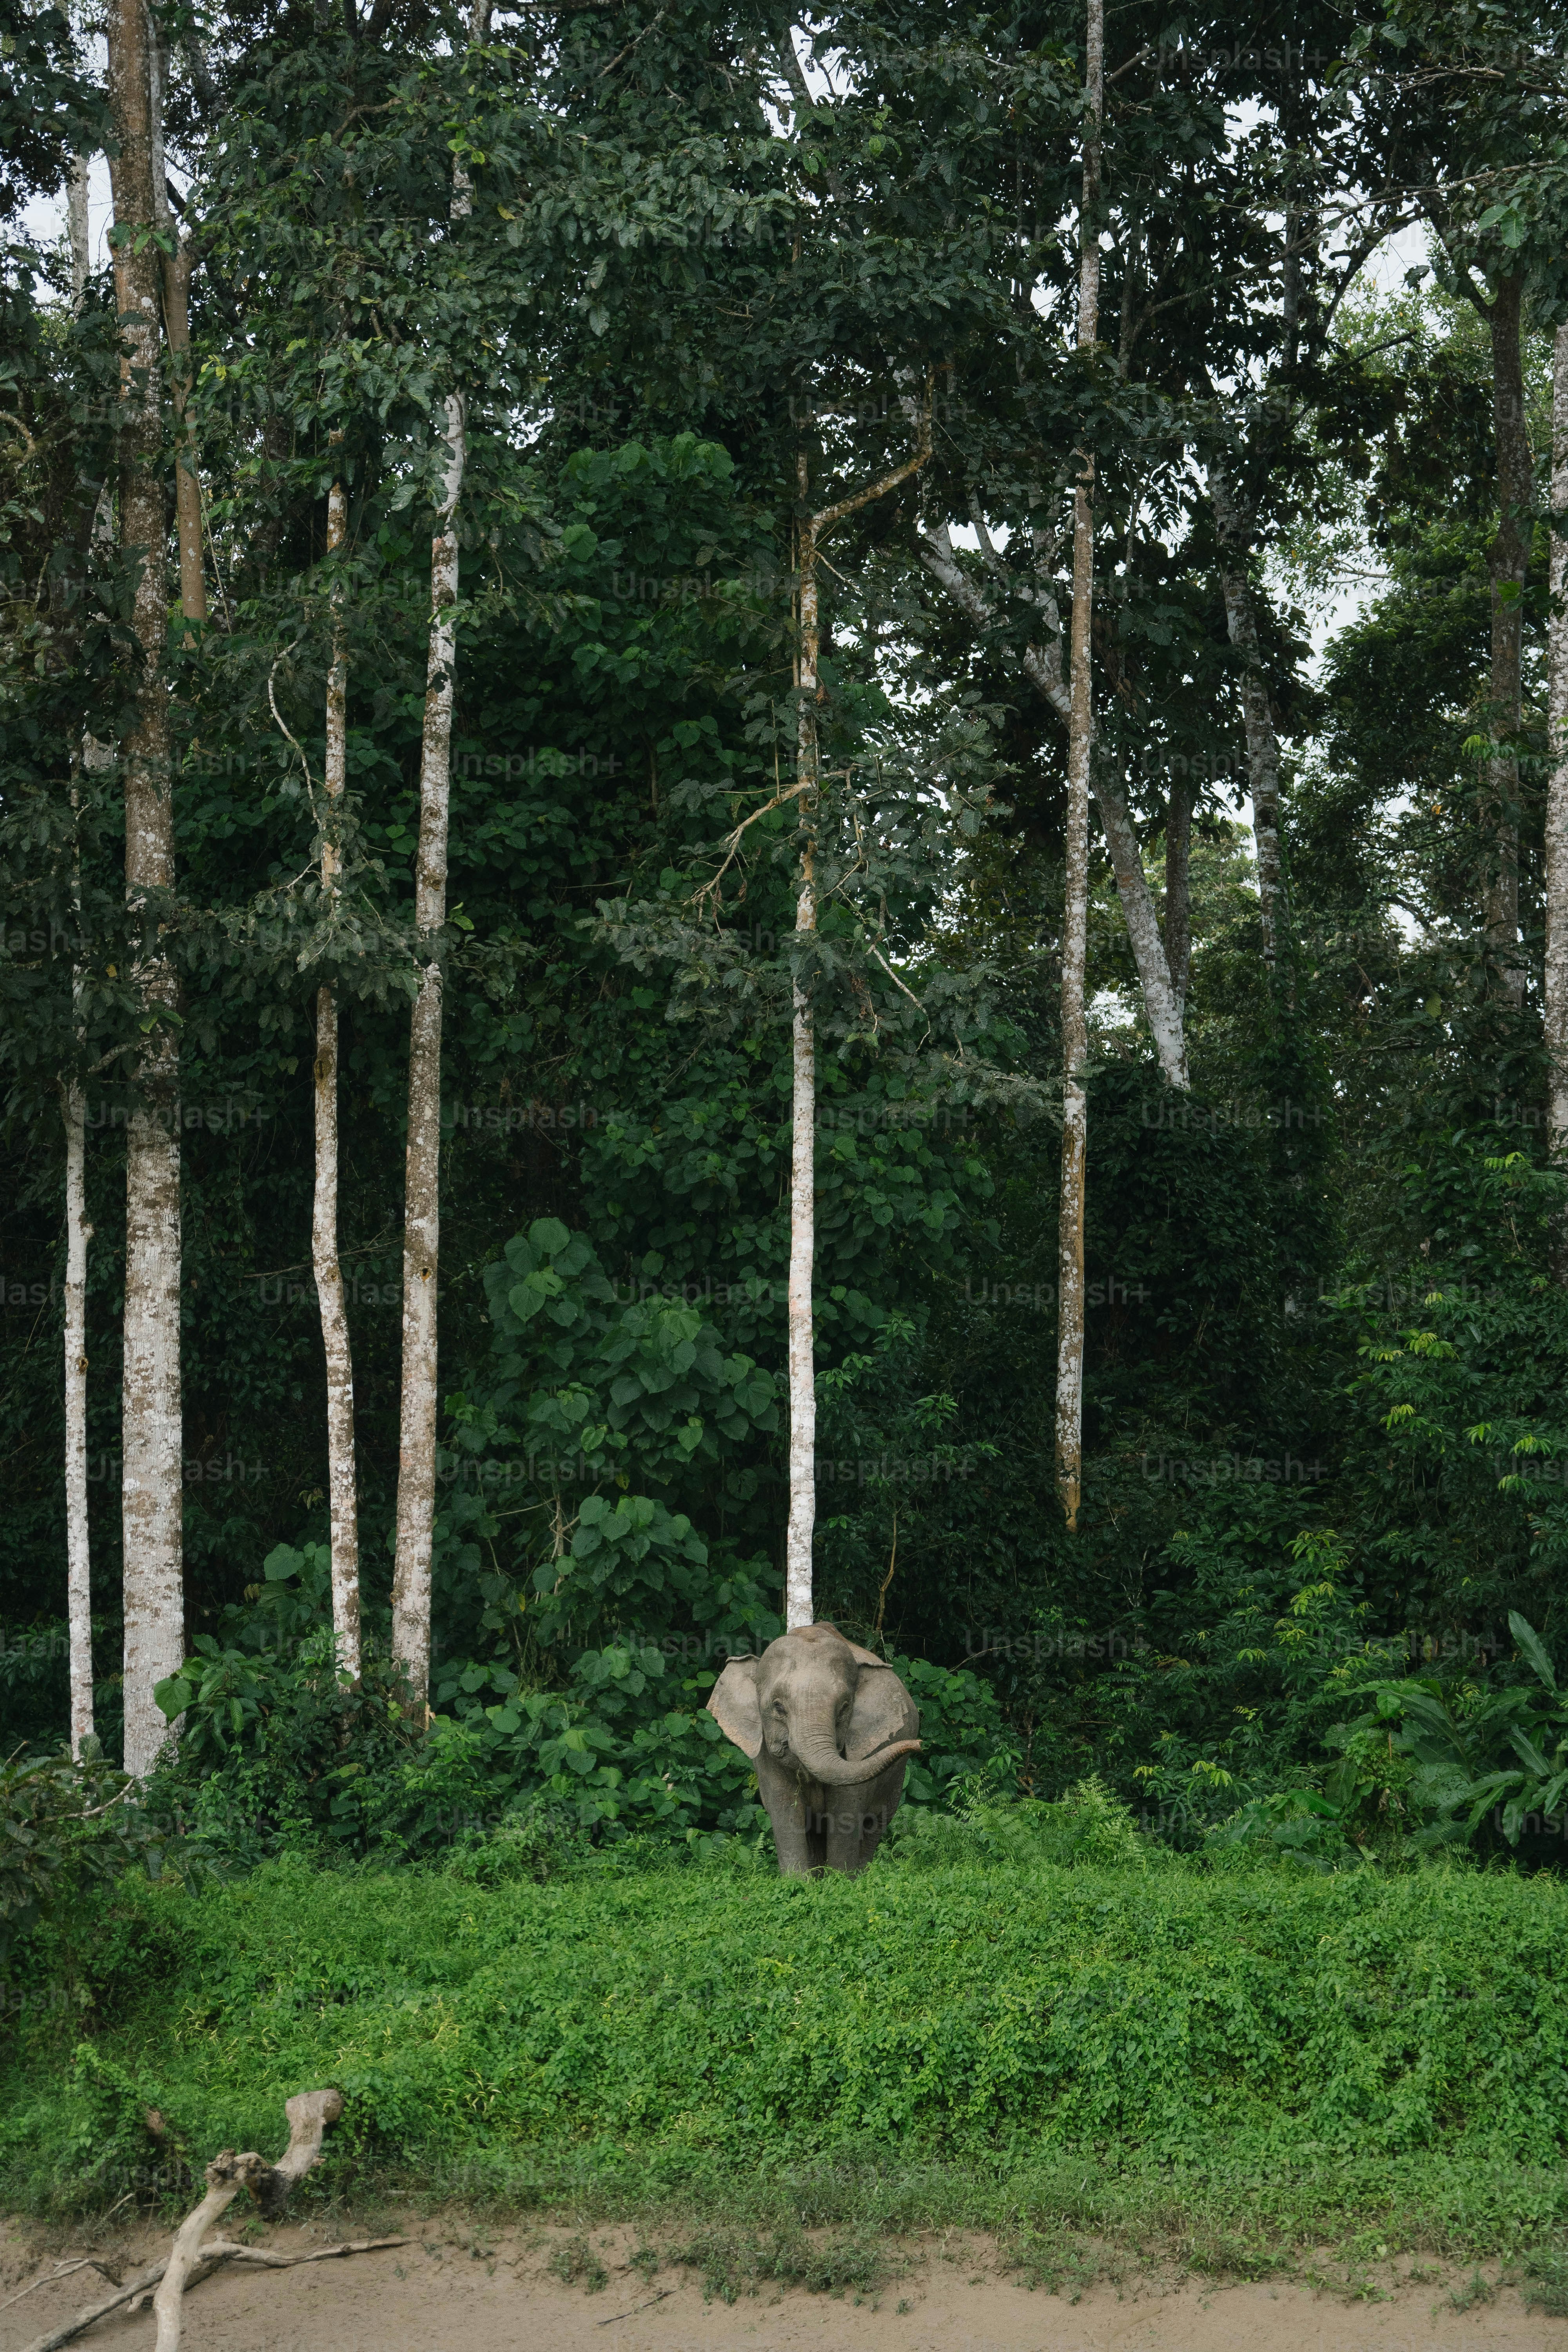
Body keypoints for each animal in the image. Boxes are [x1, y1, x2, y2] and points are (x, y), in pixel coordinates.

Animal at [707, 1621, 921, 1877]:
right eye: (778, 1707)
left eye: (844, 1708)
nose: (919, 1745)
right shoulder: (764, 1754)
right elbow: (785, 1810)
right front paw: (798, 1882)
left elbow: (846, 1811)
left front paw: (841, 1880)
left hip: (896, 1780)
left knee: (875, 1824)